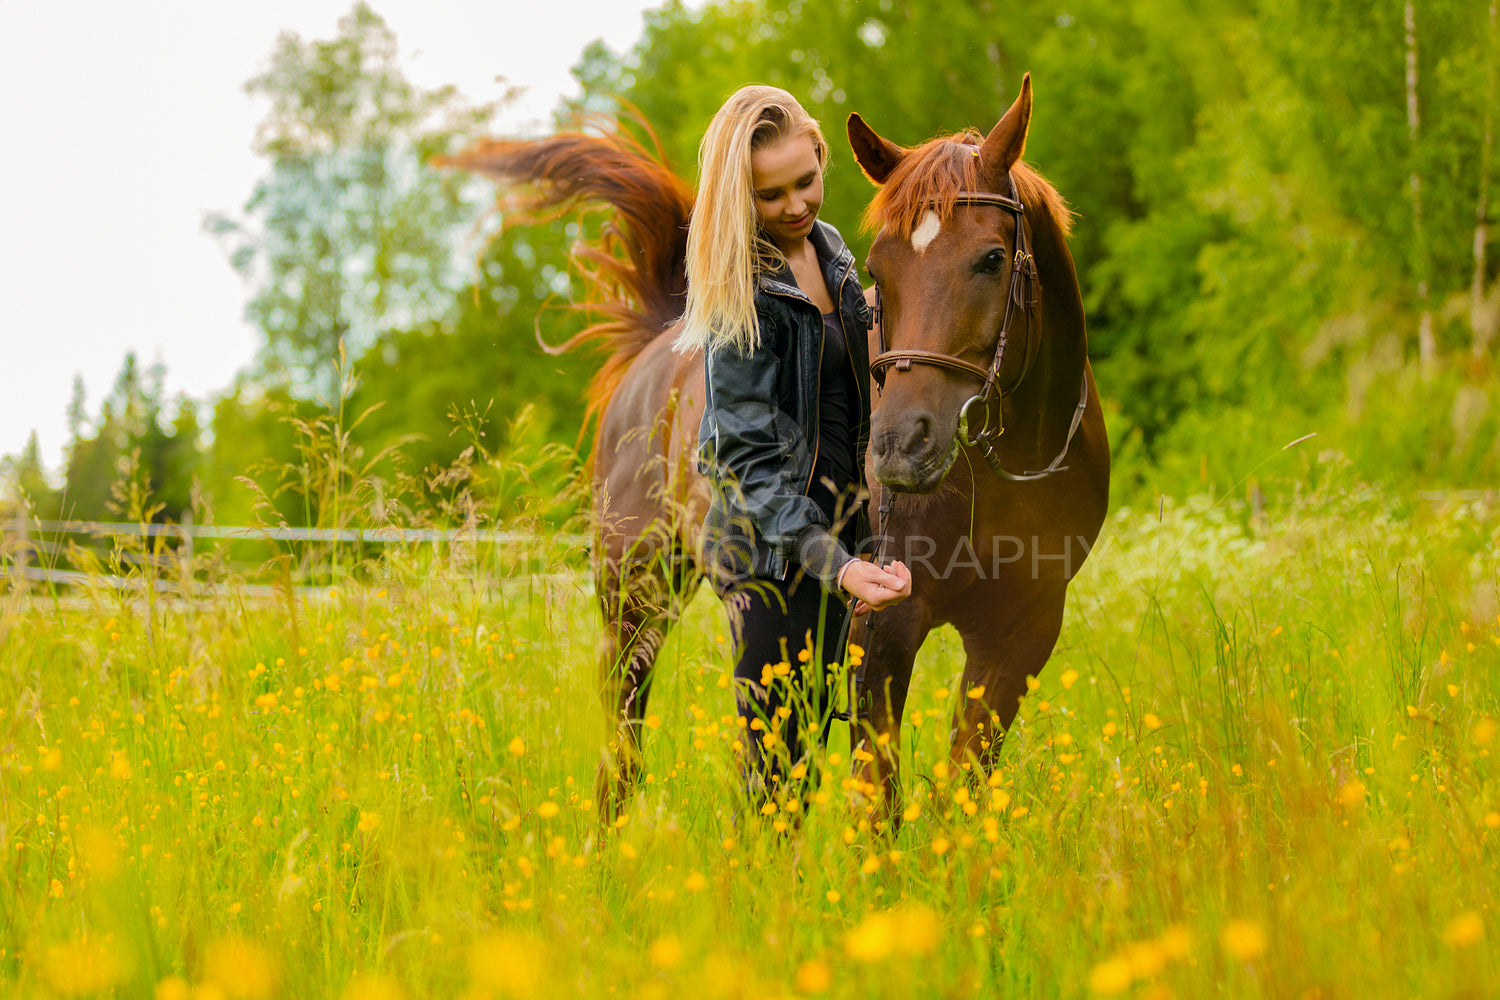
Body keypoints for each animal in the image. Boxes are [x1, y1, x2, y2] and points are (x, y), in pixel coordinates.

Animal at [441, 78, 1104, 827]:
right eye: (879, 270)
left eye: (991, 258)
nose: (901, 449)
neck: (1011, 467)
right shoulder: (885, 630)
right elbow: (878, 804)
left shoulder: (1021, 635)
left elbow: (960, 789)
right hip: (635, 597)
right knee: (626, 749)